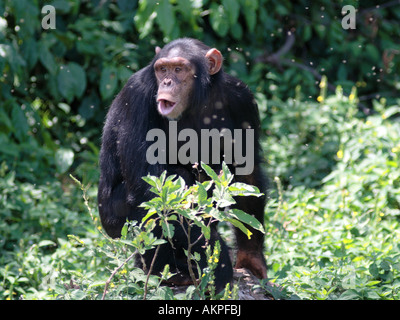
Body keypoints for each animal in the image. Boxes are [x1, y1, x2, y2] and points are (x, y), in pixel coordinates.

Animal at [98, 38, 268, 292]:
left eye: (178, 69)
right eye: (162, 69)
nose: (167, 81)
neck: (196, 101)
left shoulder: (243, 99)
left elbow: (247, 173)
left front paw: (251, 258)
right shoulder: (136, 96)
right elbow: (150, 190)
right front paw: (220, 265)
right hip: (114, 222)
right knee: (174, 182)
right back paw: (165, 273)